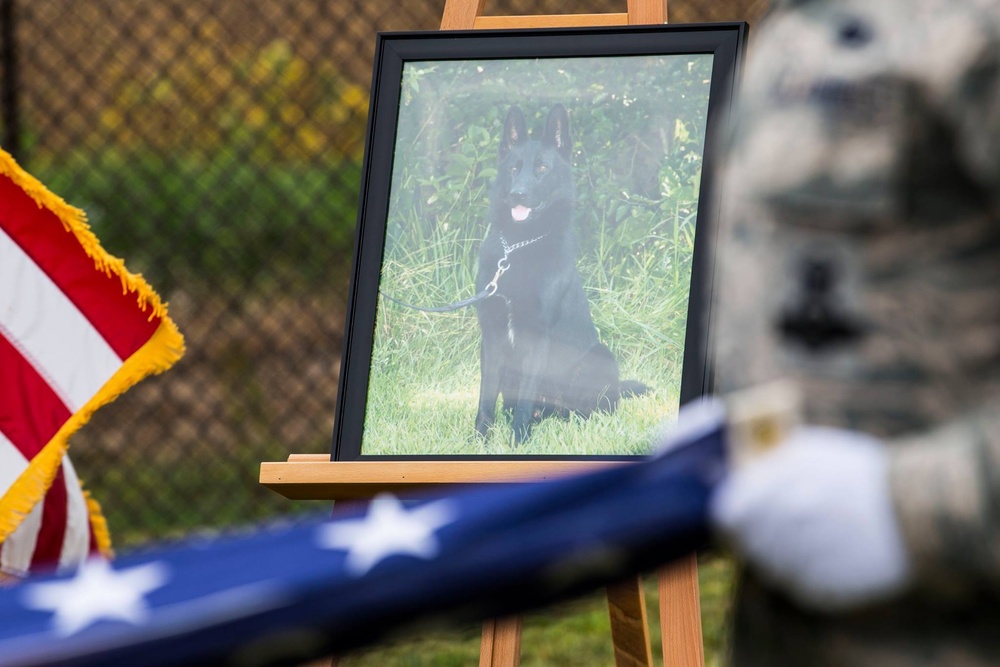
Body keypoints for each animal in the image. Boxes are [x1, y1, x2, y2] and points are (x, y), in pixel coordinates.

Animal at [476, 107, 648, 446]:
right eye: (514, 168)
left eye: (542, 168)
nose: (518, 194)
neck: (519, 247)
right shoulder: (490, 335)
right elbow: (485, 396)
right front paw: (479, 439)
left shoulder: (536, 337)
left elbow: (526, 397)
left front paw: (518, 442)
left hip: (601, 357)